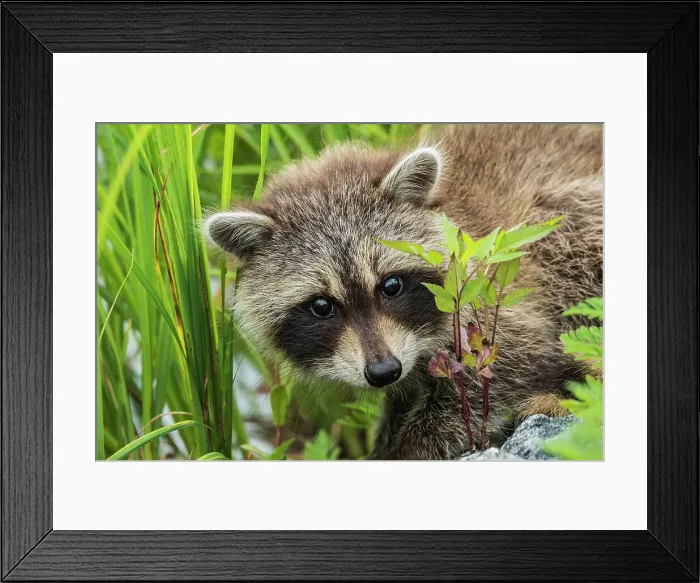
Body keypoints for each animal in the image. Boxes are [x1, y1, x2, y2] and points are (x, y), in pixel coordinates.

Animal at [204, 124, 603, 460]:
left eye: (391, 285)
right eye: (321, 305)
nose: (384, 371)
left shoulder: (492, 289)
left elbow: (510, 360)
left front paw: (409, 448)